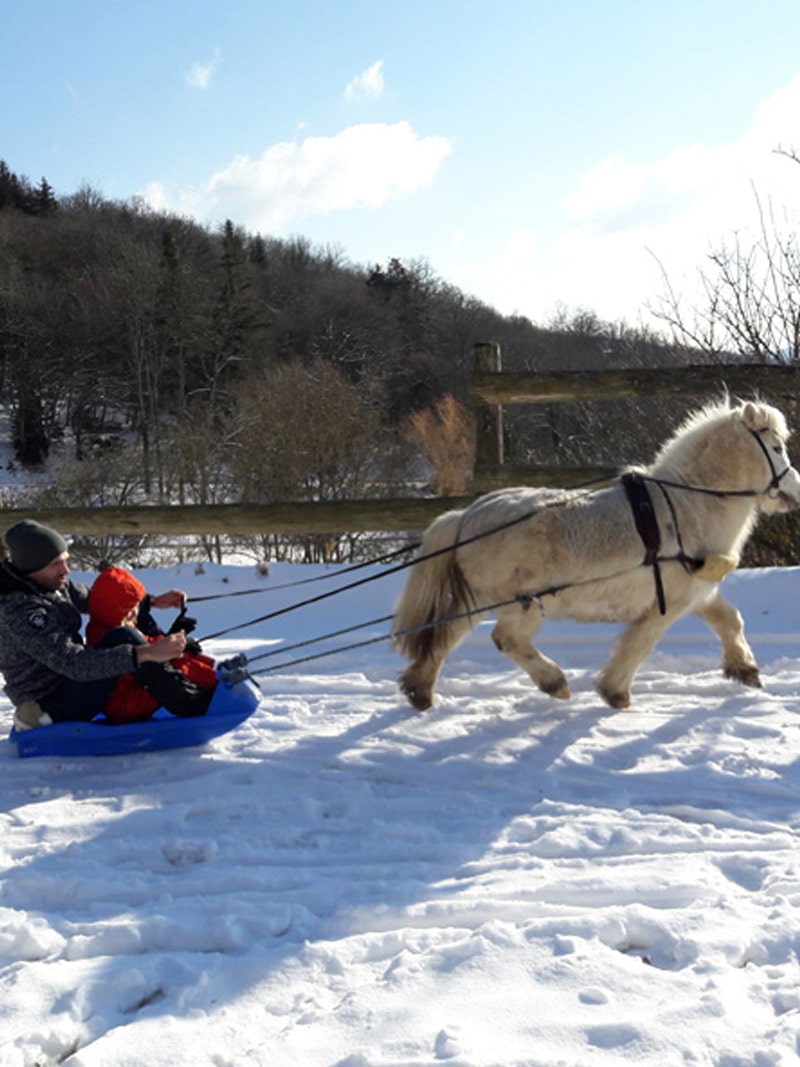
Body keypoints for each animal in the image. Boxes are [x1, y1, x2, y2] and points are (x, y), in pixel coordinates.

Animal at [392, 399, 800, 708]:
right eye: (776, 448)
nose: (795, 490)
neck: (689, 504)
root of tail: (467, 515)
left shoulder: (699, 593)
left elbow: (730, 620)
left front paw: (745, 670)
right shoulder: (670, 602)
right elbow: (641, 643)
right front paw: (615, 692)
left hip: (476, 599)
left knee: (443, 636)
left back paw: (419, 691)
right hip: (523, 604)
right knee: (506, 640)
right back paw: (554, 682)